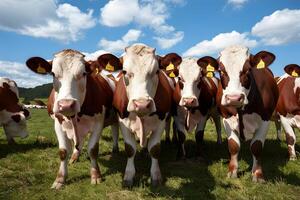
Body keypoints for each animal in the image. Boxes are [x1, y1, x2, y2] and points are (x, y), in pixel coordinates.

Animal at [25, 49, 122, 188]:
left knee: (115, 130)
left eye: (84, 73)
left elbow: (93, 150)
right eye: (53, 74)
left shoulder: (98, 123)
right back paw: (74, 157)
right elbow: (63, 151)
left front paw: (96, 175)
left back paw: (115, 149)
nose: (66, 105)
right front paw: (60, 179)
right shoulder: (58, 123)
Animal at [112, 43, 173, 188]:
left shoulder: (161, 121)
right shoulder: (122, 121)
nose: (142, 104)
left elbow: (155, 148)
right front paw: (128, 176)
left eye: (156, 71)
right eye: (124, 72)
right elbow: (130, 149)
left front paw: (156, 176)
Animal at [216, 45, 278, 183]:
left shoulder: (265, 118)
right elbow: (234, 146)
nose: (233, 98)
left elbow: (256, 146)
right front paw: (232, 171)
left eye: (248, 69)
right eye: (220, 70)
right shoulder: (226, 118)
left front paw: (258, 175)